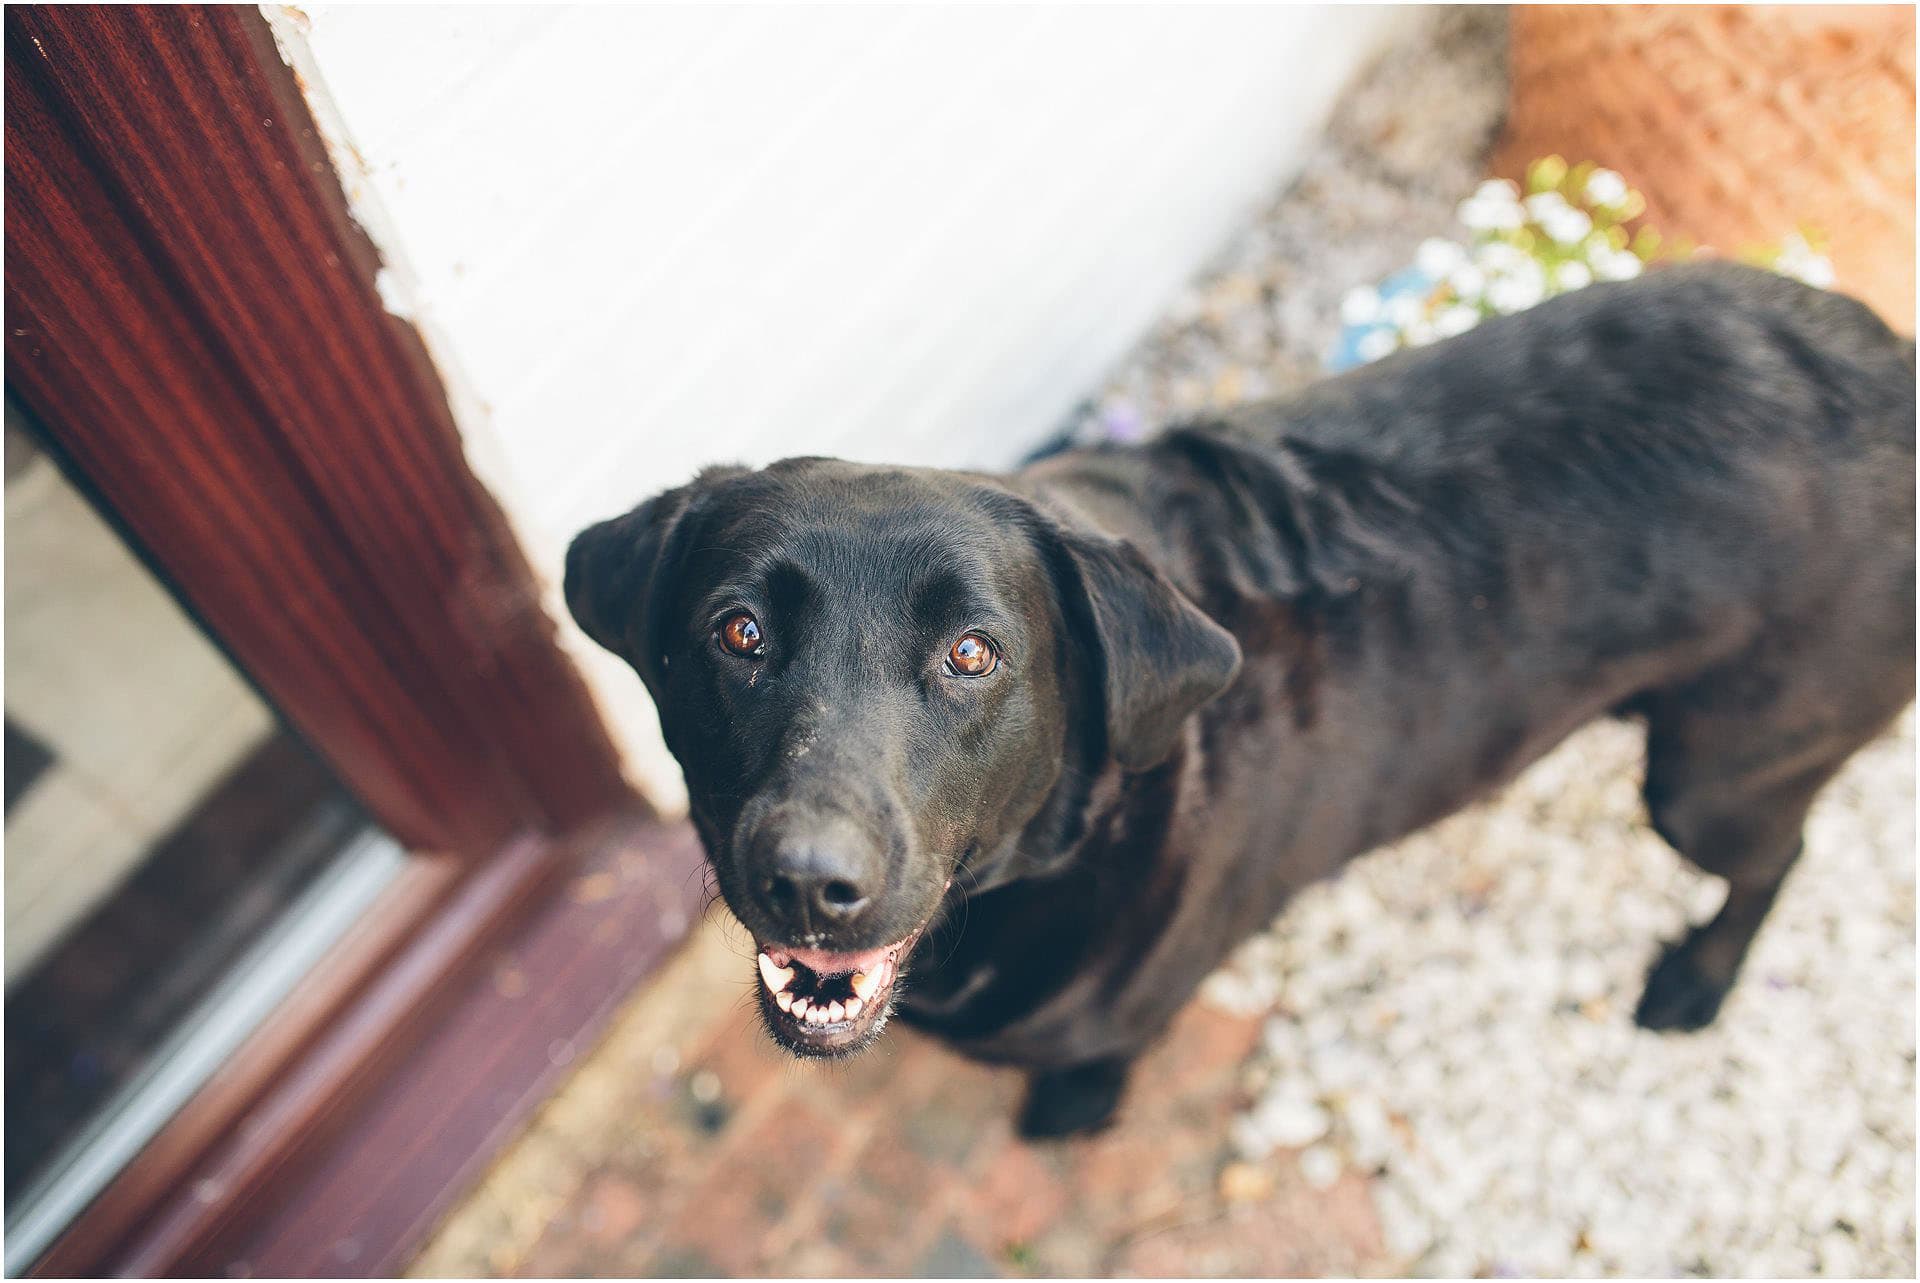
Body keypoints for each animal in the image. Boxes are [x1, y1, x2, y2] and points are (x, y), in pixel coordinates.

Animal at [560, 265, 1912, 1137]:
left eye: (973, 653)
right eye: (738, 633)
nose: (807, 878)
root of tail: (1888, 359)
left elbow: (1096, 1061)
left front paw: (1075, 1107)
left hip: (1716, 774)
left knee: (1778, 855)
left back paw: (1699, 980)